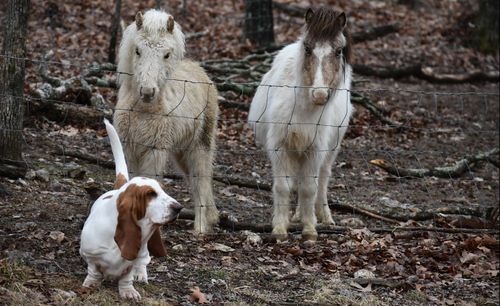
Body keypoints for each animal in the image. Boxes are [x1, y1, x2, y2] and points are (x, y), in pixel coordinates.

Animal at [115, 10, 221, 234]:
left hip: (201, 145)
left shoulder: (154, 151)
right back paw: (212, 217)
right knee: (194, 180)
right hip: (181, 152)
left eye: (166, 54)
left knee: (201, 178)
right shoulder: (129, 148)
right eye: (137, 50)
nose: (147, 92)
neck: (143, 110)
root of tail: (200, 71)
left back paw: (201, 227)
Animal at [248, 7, 354, 241]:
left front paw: (310, 230)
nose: (320, 95)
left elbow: (309, 188)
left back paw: (324, 216)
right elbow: (283, 187)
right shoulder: (280, 146)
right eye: (307, 48)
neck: (303, 111)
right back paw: (296, 215)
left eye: (338, 51)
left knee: (322, 178)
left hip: (331, 149)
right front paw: (280, 229)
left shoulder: (315, 150)